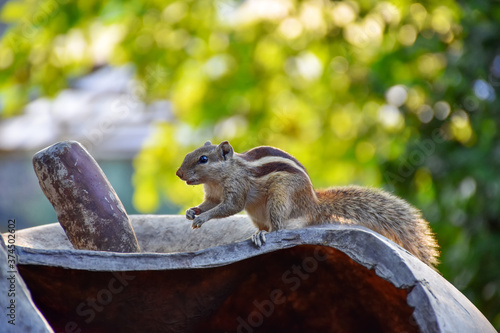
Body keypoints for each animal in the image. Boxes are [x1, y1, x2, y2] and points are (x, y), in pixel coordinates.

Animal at [177, 140, 442, 268]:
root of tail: (313, 203)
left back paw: (262, 236)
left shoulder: (237, 188)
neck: (219, 177)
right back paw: (257, 233)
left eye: (203, 159)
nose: (178, 174)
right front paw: (192, 212)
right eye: (189, 154)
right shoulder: (212, 195)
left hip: (280, 196)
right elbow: (210, 204)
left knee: (280, 227)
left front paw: (202, 218)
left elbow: (229, 207)